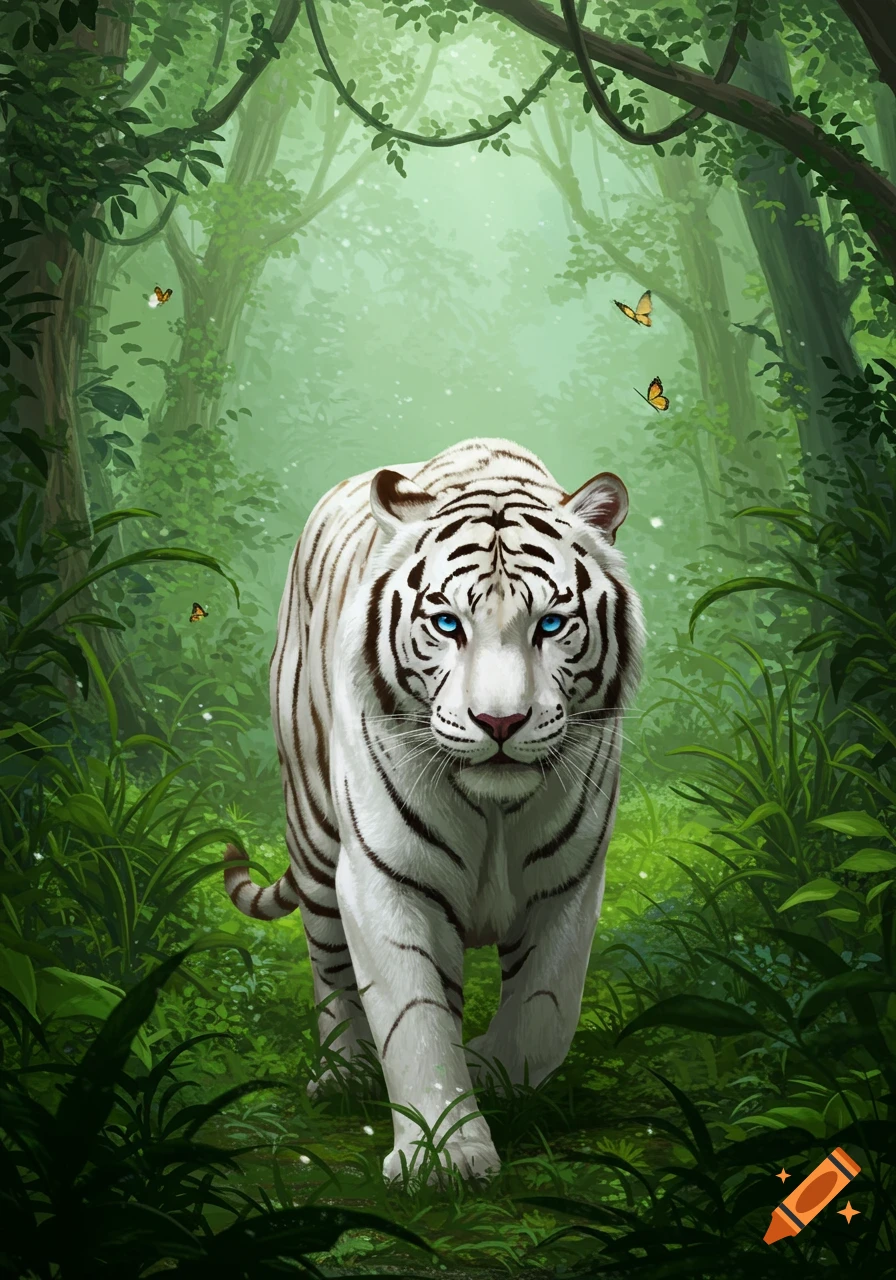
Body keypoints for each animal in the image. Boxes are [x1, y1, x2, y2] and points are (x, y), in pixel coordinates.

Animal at [224, 436, 645, 1184]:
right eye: (448, 623)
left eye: (551, 624)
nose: (500, 722)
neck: (496, 811)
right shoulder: (386, 879)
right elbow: (414, 1019)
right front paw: (446, 1156)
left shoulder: (567, 884)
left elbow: (544, 1013)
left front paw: (489, 1071)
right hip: (314, 833)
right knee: (327, 961)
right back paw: (343, 1072)